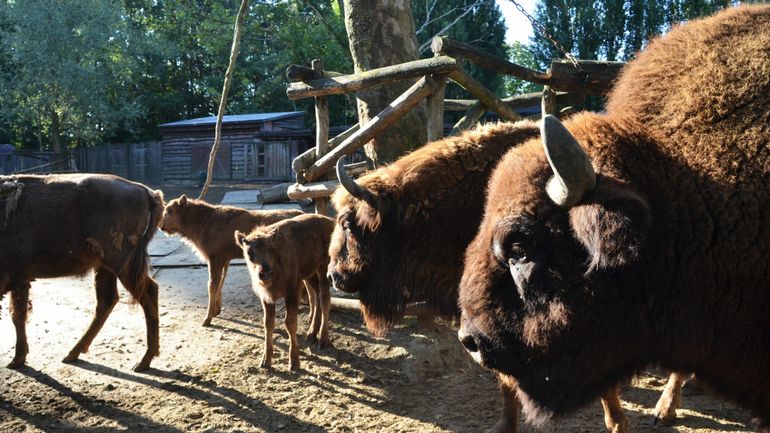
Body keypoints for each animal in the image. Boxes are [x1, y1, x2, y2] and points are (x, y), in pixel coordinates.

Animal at [0, 174, 164, 370]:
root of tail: (146, 191)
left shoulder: (13, 278)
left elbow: (17, 315)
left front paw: (16, 360)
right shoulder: (19, 279)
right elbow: (18, 315)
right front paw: (18, 358)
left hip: (122, 265)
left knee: (147, 292)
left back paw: (143, 361)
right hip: (104, 267)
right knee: (107, 301)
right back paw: (73, 353)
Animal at [160, 195, 302, 324]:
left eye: (170, 210)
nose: (161, 226)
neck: (204, 221)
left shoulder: (214, 259)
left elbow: (212, 285)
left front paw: (207, 318)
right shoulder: (225, 259)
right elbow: (221, 281)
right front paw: (216, 310)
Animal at [232, 213, 332, 372]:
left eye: (270, 249)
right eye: (249, 252)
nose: (265, 272)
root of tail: (330, 222)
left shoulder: (291, 293)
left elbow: (290, 323)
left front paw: (294, 362)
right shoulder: (266, 298)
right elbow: (268, 323)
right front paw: (265, 361)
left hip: (323, 269)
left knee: (324, 298)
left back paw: (322, 340)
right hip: (309, 274)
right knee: (316, 296)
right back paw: (311, 335)